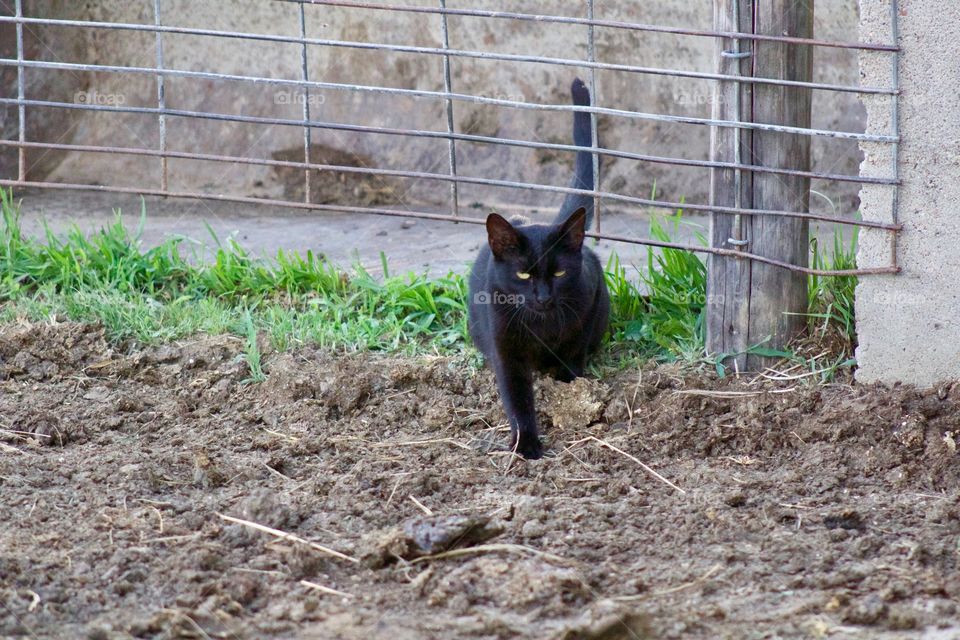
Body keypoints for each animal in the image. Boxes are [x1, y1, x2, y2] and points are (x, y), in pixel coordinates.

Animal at [468, 77, 612, 460]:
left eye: (559, 273)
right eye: (522, 274)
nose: (544, 297)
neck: (541, 325)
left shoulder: (589, 295)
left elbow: (573, 354)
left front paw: (570, 395)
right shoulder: (505, 348)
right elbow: (516, 396)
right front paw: (527, 443)